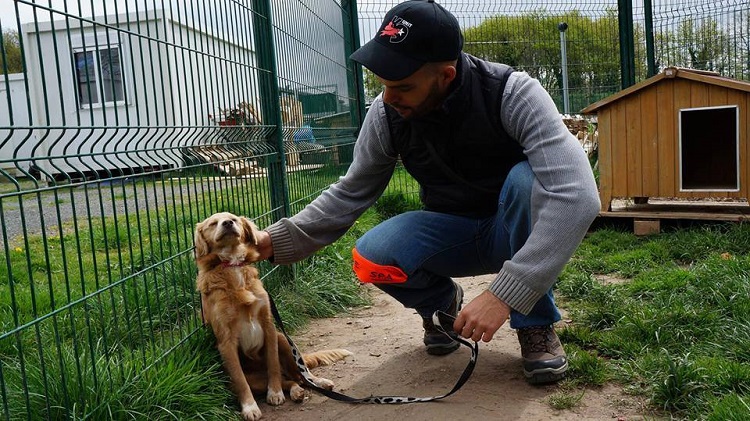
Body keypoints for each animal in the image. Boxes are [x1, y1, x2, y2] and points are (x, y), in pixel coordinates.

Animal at [197, 212, 356, 418]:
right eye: (213, 223)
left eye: (234, 218)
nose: (228, 223)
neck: (233, 264)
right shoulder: (226, 342)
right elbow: (240, 380)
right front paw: (250, 407)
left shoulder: (269, 326)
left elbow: (272, 363)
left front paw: (275, 393)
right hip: (255, 378)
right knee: (290, 380)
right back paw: (296, 392)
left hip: (284, 341)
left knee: (300, 374)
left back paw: (317, 382)